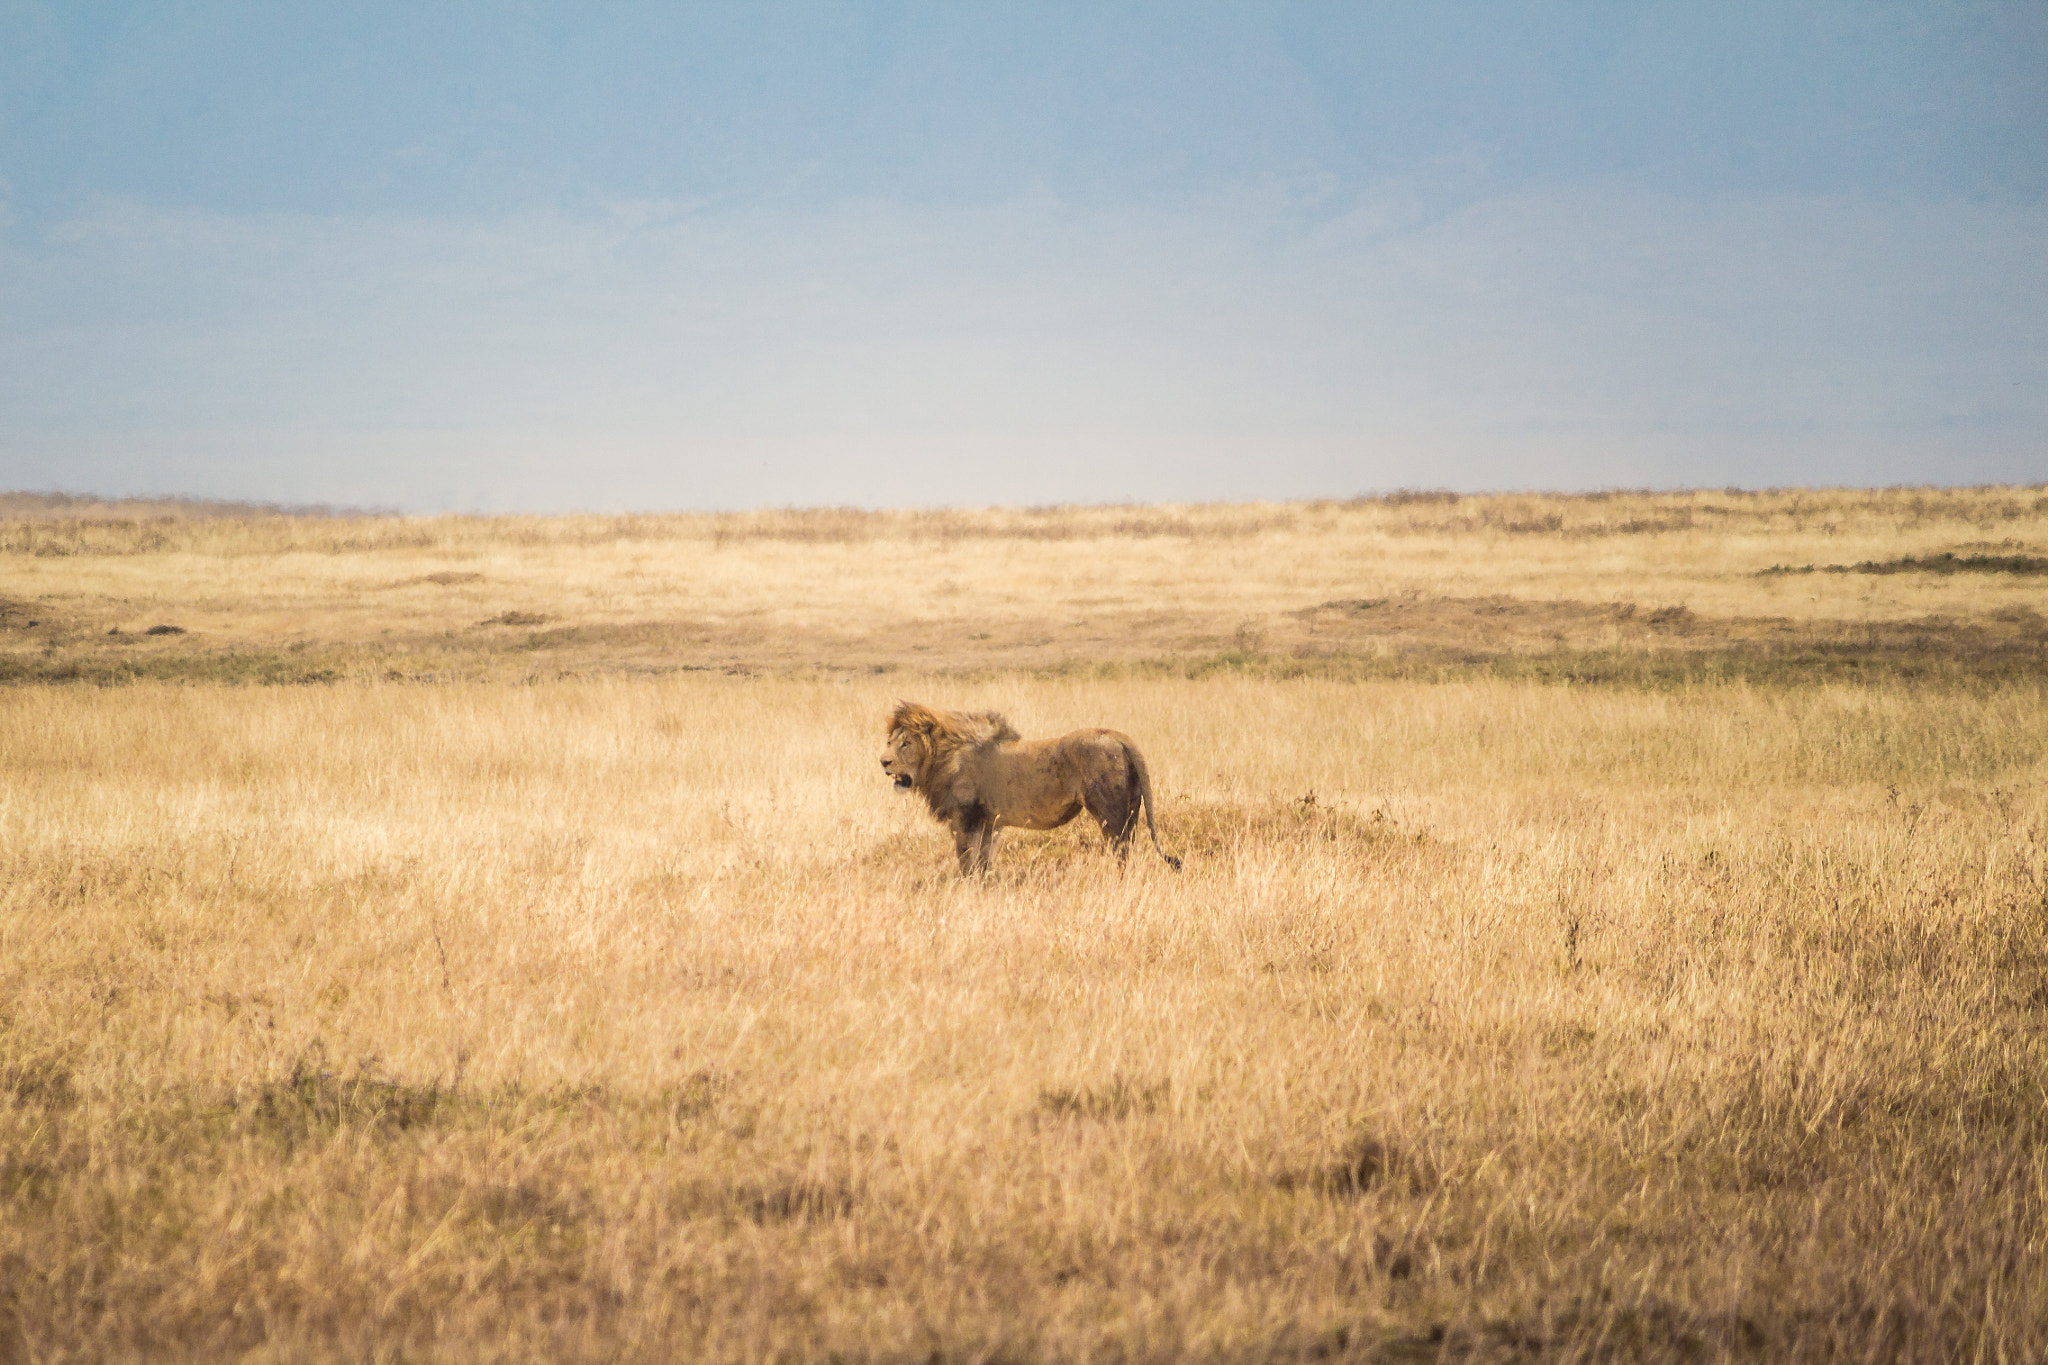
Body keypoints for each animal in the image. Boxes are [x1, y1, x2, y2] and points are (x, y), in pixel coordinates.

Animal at [880, 701, 1183, 875]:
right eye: (890, 742)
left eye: (906, 744)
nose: (883, 761)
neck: (940, 759)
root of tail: (1118, 736)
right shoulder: (988, 821)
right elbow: (983, 860)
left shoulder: (965, 817)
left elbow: (966, 860)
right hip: (1131, 806)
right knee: (1128, 846)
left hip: (1110, 811)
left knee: (1120, 850)